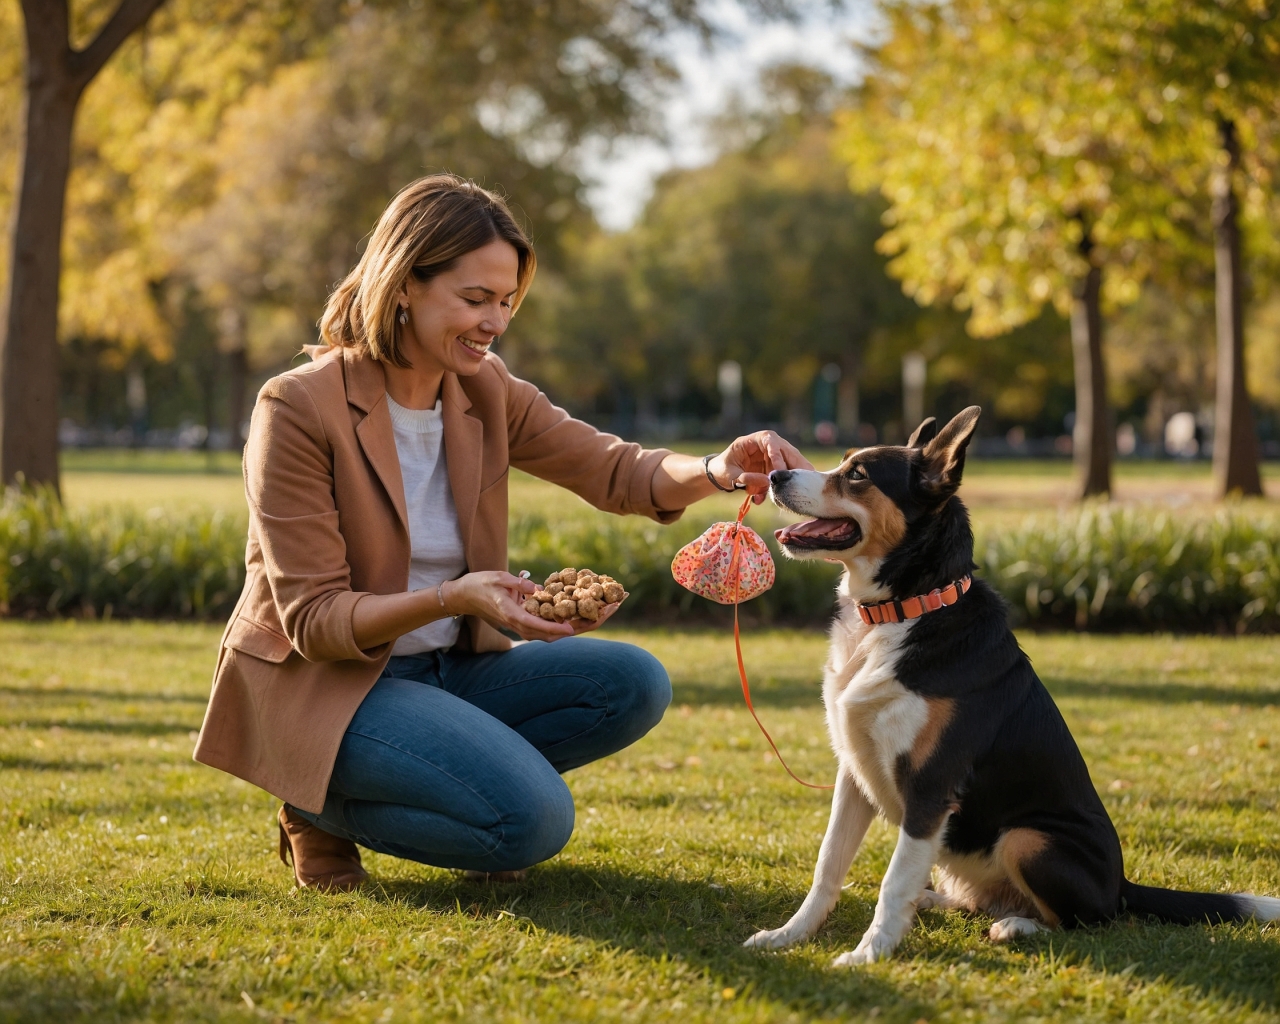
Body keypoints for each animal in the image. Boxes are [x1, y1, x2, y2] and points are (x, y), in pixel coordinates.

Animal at [747, 404, 1274, 962]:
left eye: (858, 475)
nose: (776, 475)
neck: (906, 612)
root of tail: (1122, 885)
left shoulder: (931, 788)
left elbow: (893, 881)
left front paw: (870, 954)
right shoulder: (853, 774)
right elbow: (828, 865)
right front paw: (788, 935)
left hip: (1028, 839)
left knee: (1088, 921)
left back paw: (1018, 926)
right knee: (976, 898)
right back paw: (936, 901)